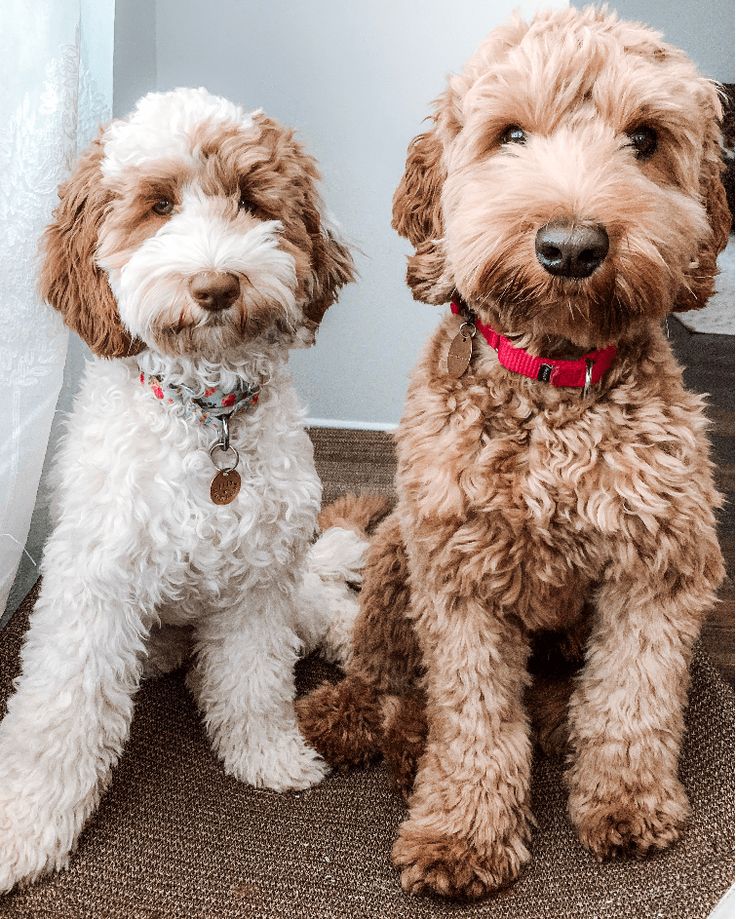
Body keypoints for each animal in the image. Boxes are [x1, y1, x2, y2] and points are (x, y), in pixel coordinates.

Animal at [0, 86, 362, 892]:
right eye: (158, 205)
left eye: (252, 200)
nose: (217, 285)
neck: (207, 417)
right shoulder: (93, 585)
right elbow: (60, 717)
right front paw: (25, 825)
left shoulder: (261, 580)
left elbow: (256, 681)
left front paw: (269, 755)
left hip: (295, 577)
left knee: (322, 606)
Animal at [294, 5, 732, 900]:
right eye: (510, 135)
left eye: (645, 138)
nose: (570, 246)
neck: (554, 385)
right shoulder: (458, 573)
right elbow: (471, 714)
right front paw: (461, 830)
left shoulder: (661, 564)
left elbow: (633, 694)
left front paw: (626, 798)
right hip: (398, 553)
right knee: (382, 670)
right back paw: (364, 723)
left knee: (564, 692)